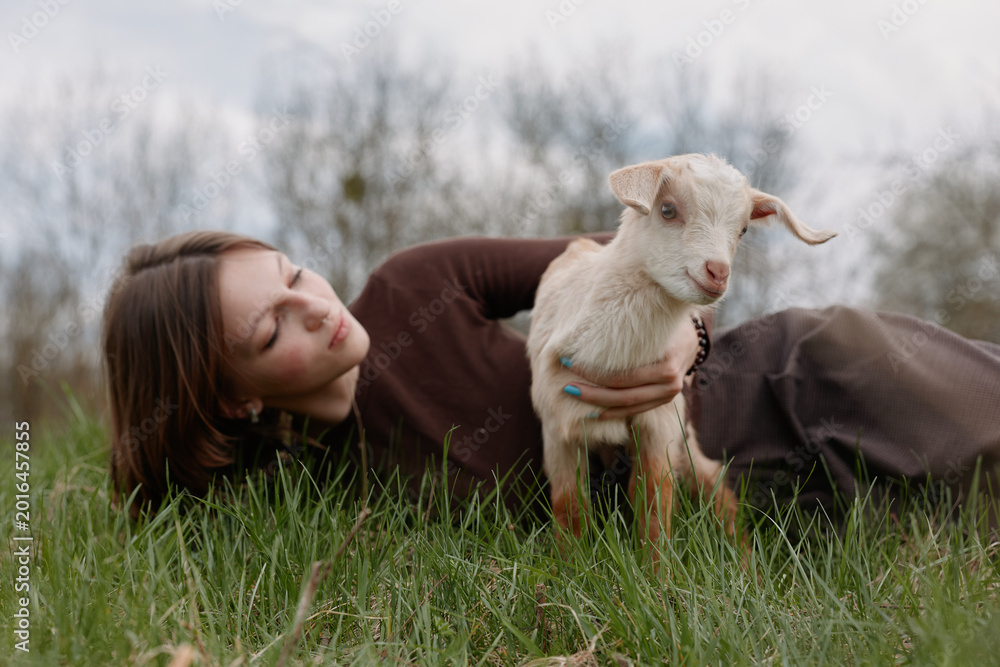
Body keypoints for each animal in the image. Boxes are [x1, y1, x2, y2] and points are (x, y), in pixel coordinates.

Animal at [527, 153, 836, 547]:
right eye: (668, 210)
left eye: (743, 230)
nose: (717, 273)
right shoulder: (557, 428)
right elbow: (570, 508)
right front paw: (572, 558)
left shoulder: (660, 422)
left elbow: (654, 501)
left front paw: (655, 564)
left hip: (686, 439)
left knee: (718, 492)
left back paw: (743, 558)